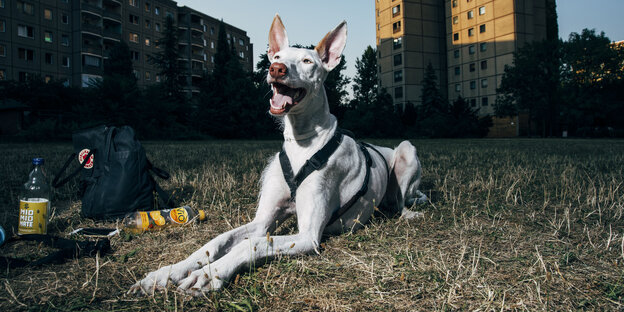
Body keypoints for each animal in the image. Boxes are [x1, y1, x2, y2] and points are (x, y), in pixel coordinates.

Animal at [130, 14, 424, 296]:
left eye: (307, 61)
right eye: (278, 58)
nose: (276, 70)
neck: (302, 143)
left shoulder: (308, 236)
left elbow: (254, 244)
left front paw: (209, 275)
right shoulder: (262, 221)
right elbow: (216, 242)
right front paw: (166, 273)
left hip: (407, 150)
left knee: (401, 202)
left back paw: (409, 212)